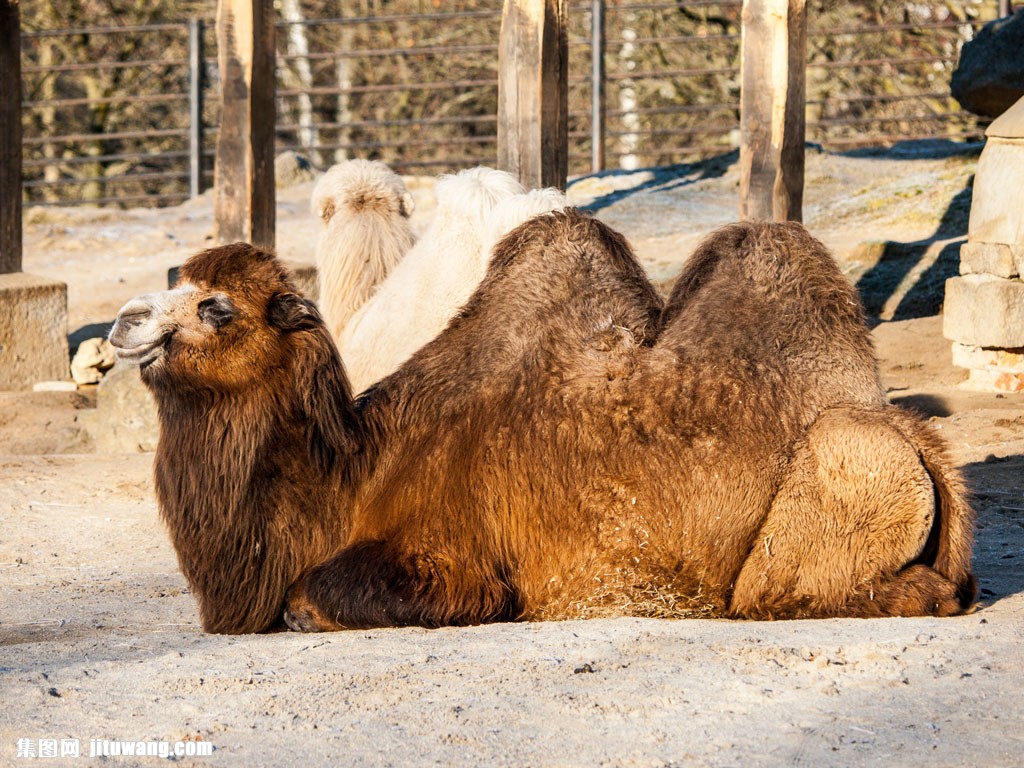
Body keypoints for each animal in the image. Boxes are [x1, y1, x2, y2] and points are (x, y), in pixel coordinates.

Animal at [108, 210, 970, 630]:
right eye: (177, 283)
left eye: (216, 306)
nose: (123, 323)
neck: (353, 472)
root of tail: (925, 448)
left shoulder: (456, 563)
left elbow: (307, 598)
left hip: (828, 484)